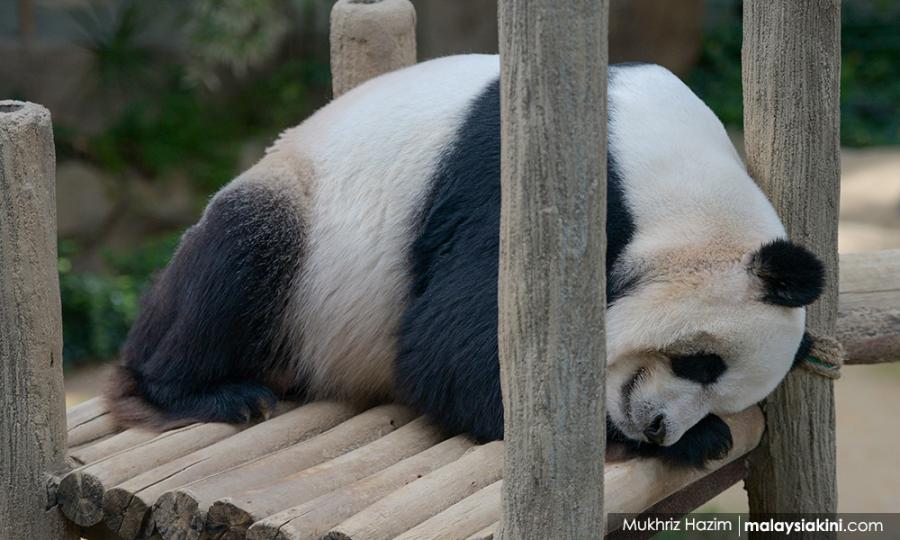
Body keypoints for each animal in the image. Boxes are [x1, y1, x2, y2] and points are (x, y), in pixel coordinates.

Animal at [105, 54, 824, 468]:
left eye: (718, 386)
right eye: (700, 362)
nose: (656, 429)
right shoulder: (520, 180)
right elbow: (453, 346)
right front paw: (696, 441)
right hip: (297, 217)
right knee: (239, 260)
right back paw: (207, 393)